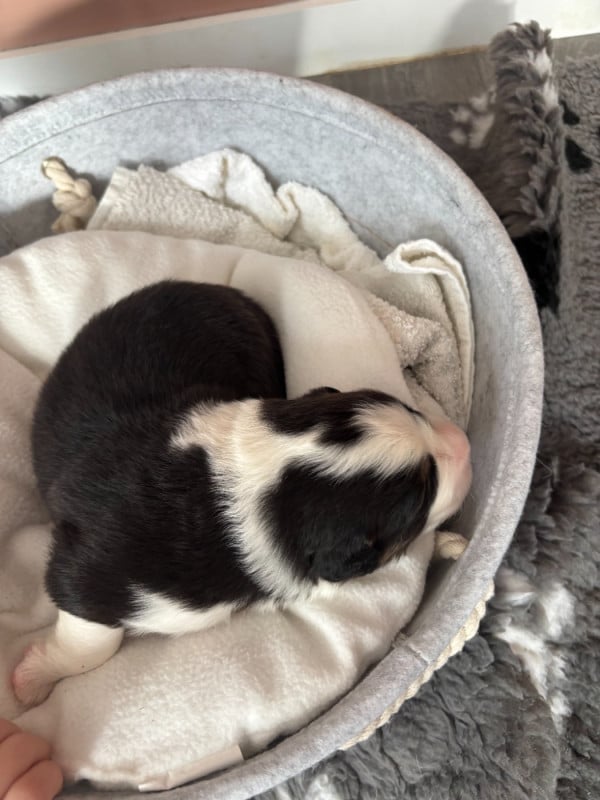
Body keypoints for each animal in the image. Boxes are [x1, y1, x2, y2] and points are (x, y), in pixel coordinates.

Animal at [12, 280, 472, 707]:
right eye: (421, 496)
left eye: (413, 411)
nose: (466, 444)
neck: (265, 478)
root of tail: (223, 289)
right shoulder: (93, 575)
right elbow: (92, 640)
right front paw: (32, 679)